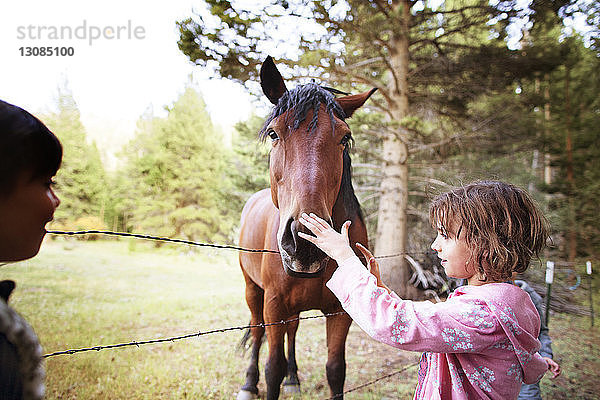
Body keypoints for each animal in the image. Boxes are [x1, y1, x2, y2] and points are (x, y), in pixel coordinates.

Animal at [238, 57, 376, 400]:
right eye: (273, 134)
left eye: (344, 138)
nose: (304, 242)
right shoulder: (273, 304)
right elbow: (272, 368)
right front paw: (268, 378)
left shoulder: (340, 312)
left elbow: (336, 370)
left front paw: (292, 375)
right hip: (252, 290)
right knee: (256, 331)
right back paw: (248, 383)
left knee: (293, 329)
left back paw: (294, 377)